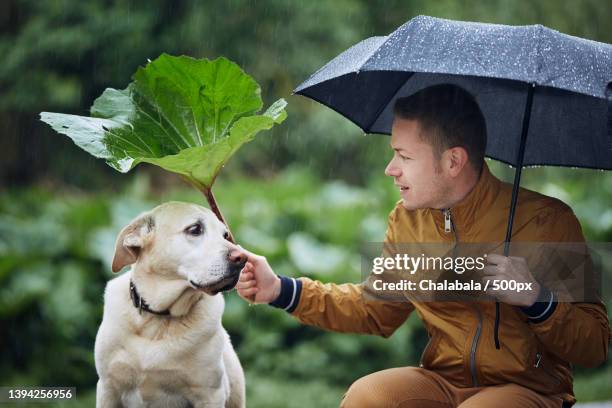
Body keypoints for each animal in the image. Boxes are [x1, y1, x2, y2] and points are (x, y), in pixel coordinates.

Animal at [94, 202, 245, 408]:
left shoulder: (210, 394)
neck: (159, 318)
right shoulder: (108, 388)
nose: (243, 258)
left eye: (225, 235)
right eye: (195, 229)